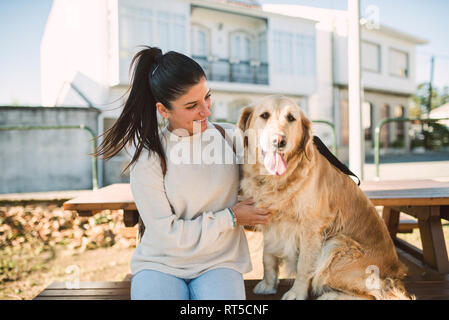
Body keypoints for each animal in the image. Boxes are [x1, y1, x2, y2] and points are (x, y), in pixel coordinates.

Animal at [236, 95, 412, 300]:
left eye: (291, 118)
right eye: (264, 115)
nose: (279, 141)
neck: (277, 179)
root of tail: (396, 273)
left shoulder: (311, 228)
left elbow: (304, 266)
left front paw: (296, 293)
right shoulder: (270, 222)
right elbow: (268, 257)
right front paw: (268, 284)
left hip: (337, 244)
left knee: (374, 295)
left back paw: (330, 296)